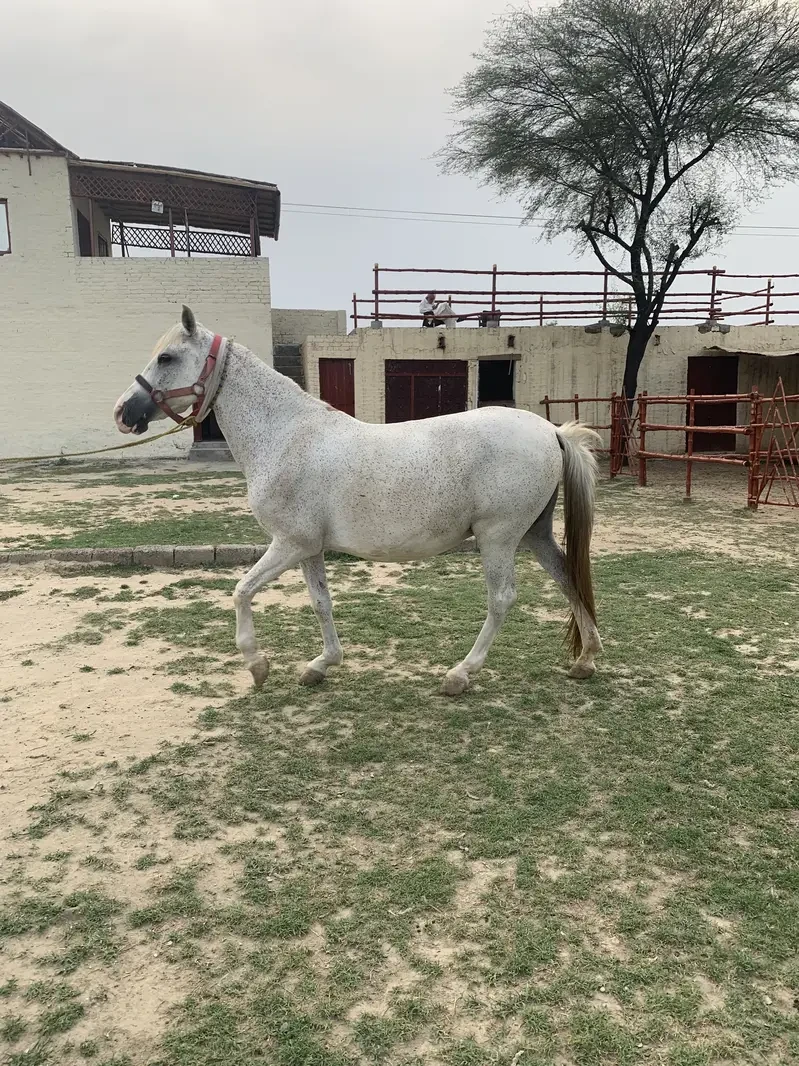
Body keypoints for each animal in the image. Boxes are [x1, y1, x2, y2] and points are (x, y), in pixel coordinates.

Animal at [114, 307, 603, 695]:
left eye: (167, 357)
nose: (123, 412)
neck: (286, 435)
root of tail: (552, 431)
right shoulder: (308, 548)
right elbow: (320, 602)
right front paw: (320, 666)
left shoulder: (288, 544)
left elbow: (242, 591)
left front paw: (256, 664)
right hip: (534, 533)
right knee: (568, 578)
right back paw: (586, 660)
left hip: (498, 538)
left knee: (501, 598)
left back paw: (460, 674)